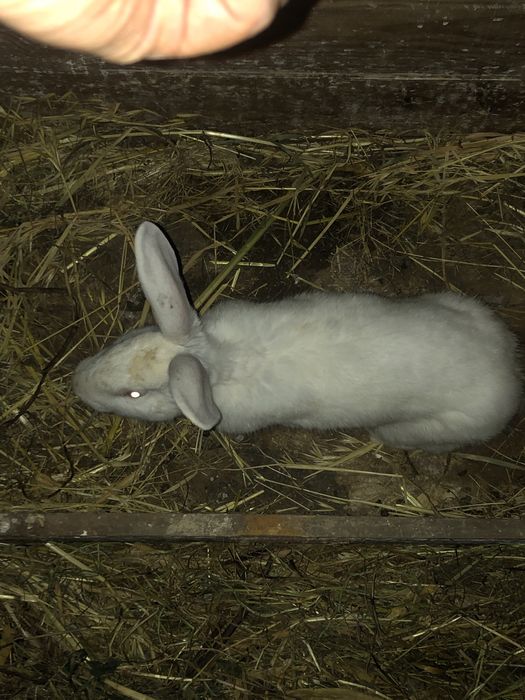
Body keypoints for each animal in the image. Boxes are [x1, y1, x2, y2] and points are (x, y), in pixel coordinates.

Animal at [73, 221, 522, 452]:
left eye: (134, 394)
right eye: (123, 341)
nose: (76, 382)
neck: (223, 359)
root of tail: (508, 369)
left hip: (430, 429)